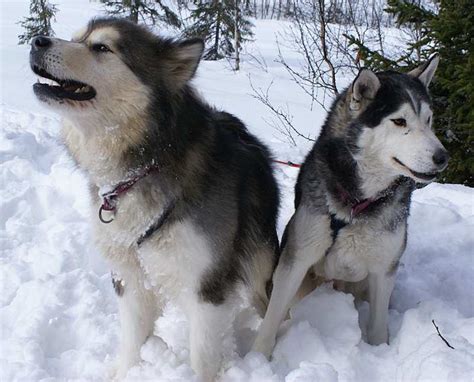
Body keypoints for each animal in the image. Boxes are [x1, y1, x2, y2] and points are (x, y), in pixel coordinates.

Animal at [29, 18, 280, 382]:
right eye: (75, 38)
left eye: (101, 47)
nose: (37, 41)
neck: (144, 163)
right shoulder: (129, 277)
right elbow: (133, 340)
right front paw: (127, 371)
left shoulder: (206, 285)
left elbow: (202, 356)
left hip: (258, 267)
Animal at [252, 55, 448, 356]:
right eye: (399, 121)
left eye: (429, 120)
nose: (443, 157)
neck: (358, 203)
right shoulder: (298, 258)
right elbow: (272, 318)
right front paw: (259, 356)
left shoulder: (383, 270)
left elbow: (378, 327)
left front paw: (380, 352)